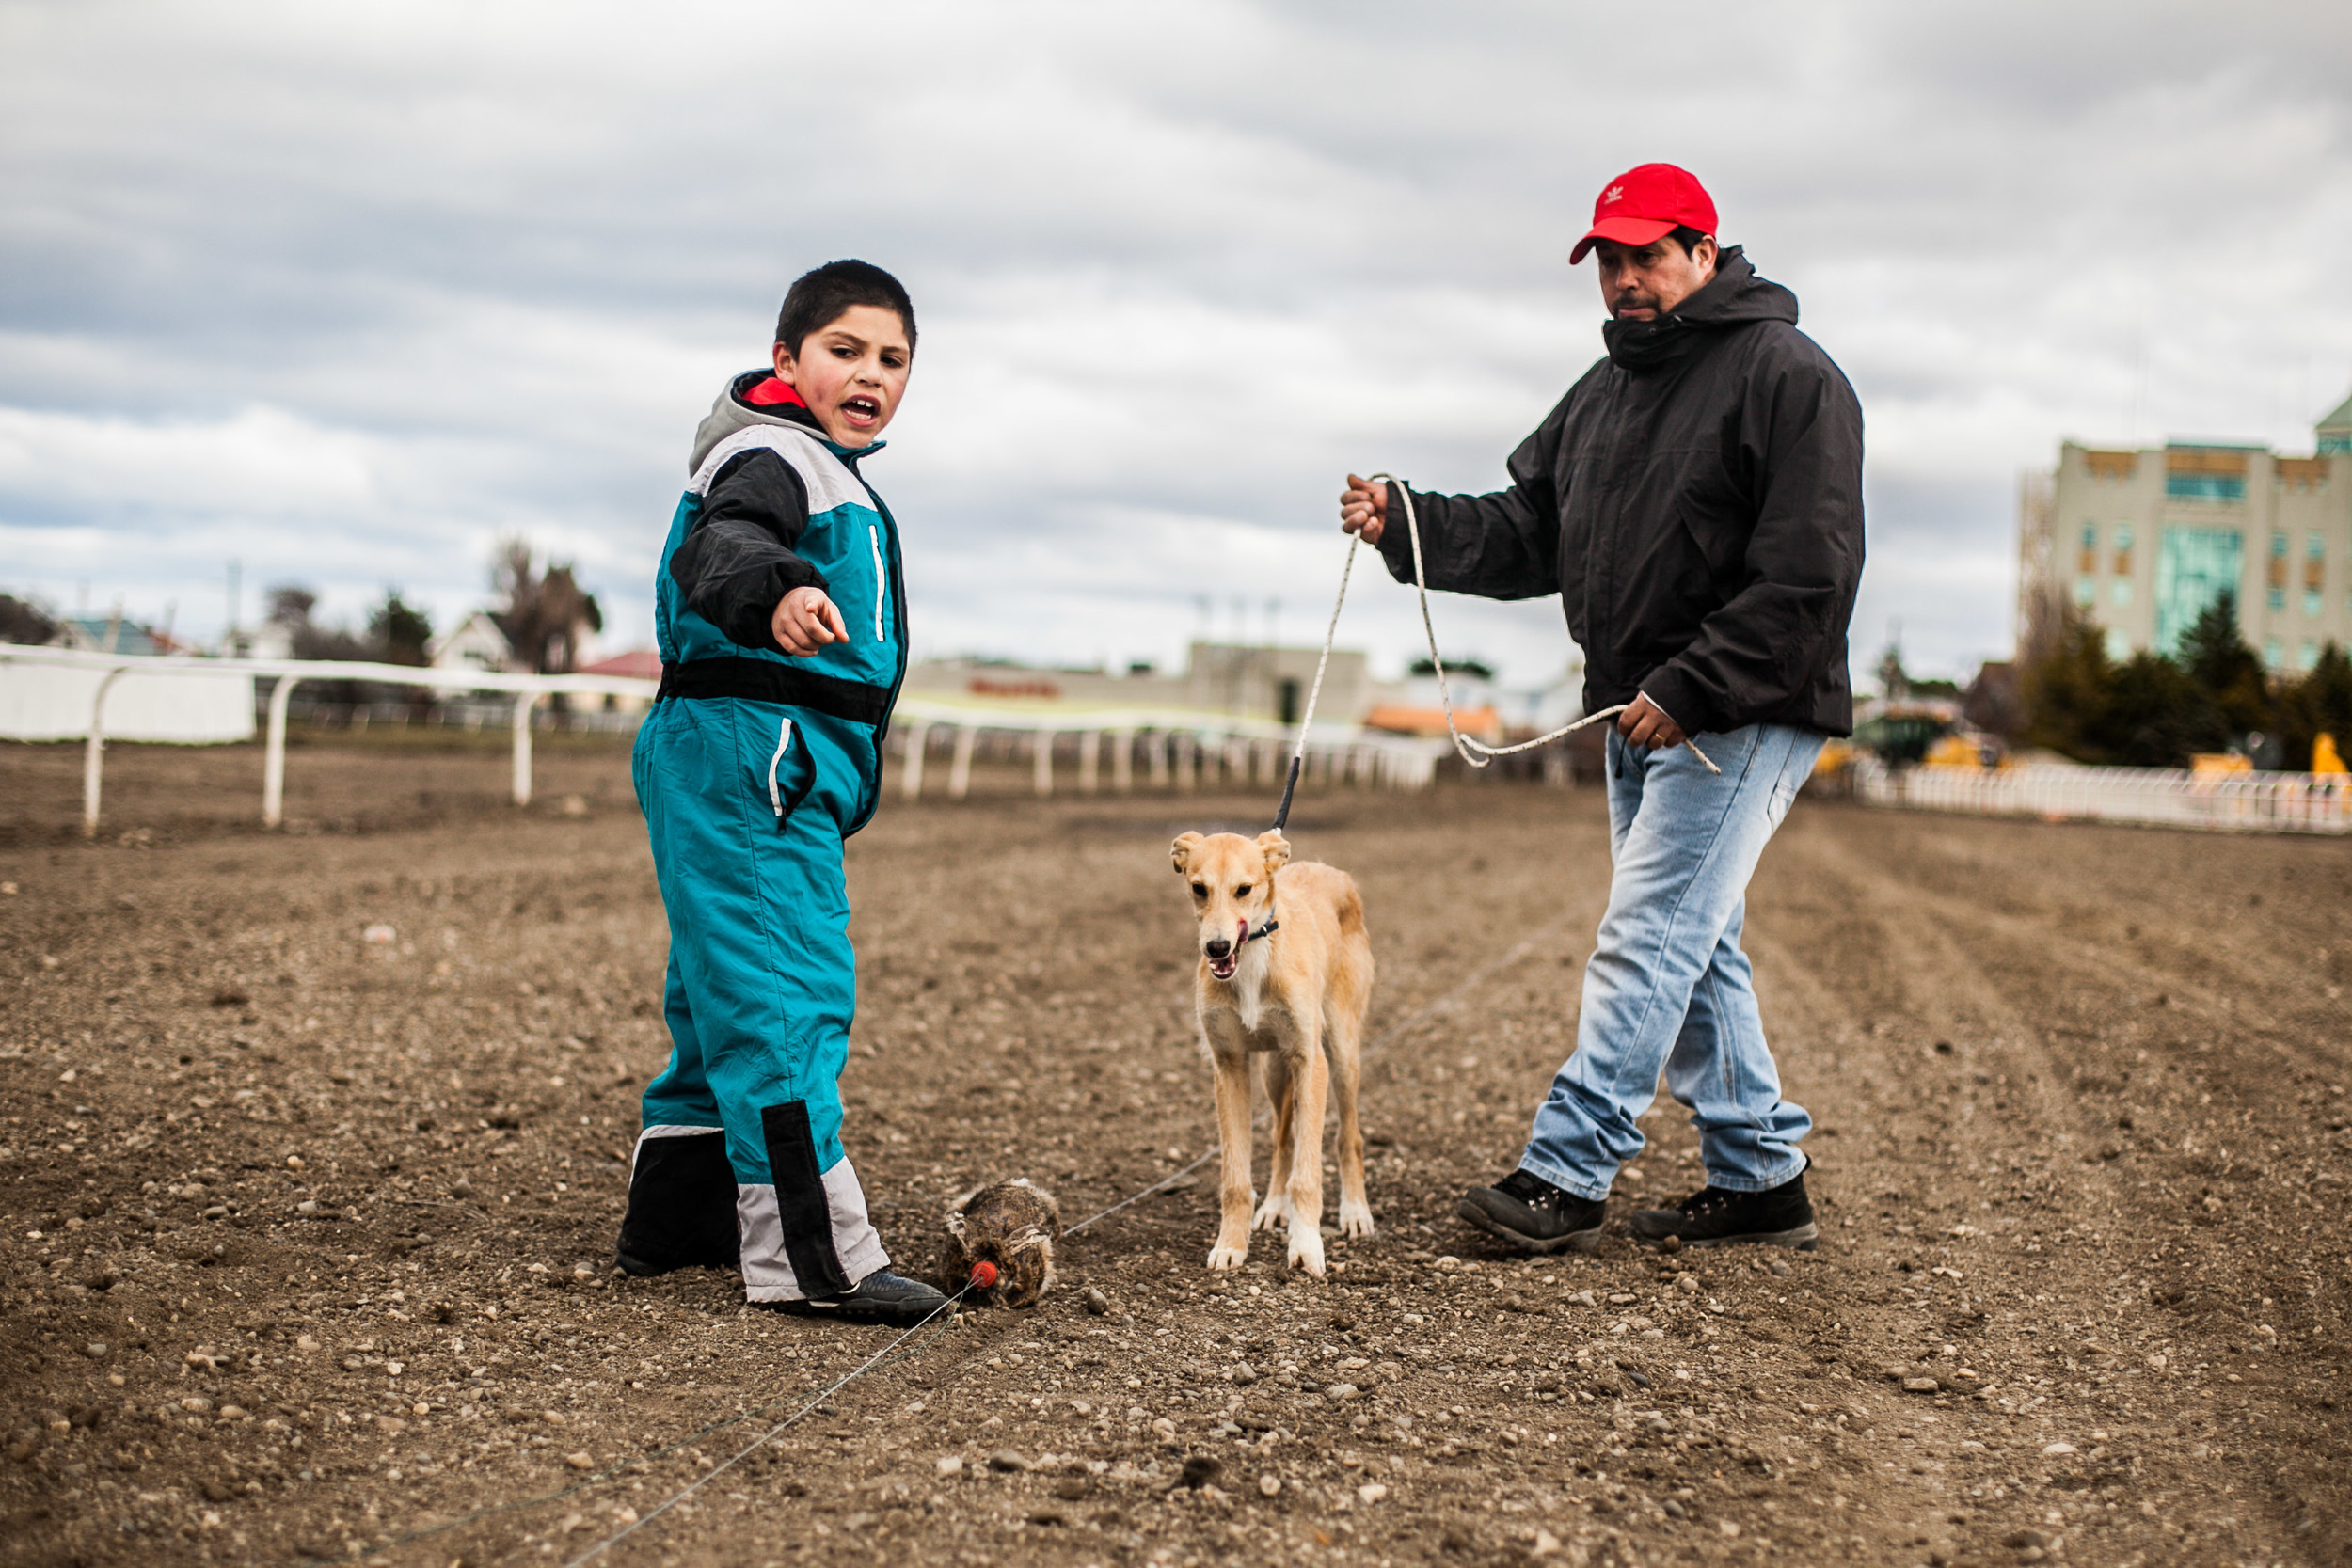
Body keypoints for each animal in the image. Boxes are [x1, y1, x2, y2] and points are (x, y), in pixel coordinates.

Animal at [1176, 827, 1374, 1278]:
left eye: (1244, 889)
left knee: (1349, 1136)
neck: (1251, 960)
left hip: (1342, 1052)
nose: (1216, 948)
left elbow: (1308, 1174)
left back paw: (1355, 1211)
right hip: (1273, 1070)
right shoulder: (1229, 1065)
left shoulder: (1310, 1059)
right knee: (1282, 1139)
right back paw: (1274, 1206)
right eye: (1198, 888)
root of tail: (1333, 872)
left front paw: (1306, 1246)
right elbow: (1235, 1179)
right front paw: (1231, 1244)